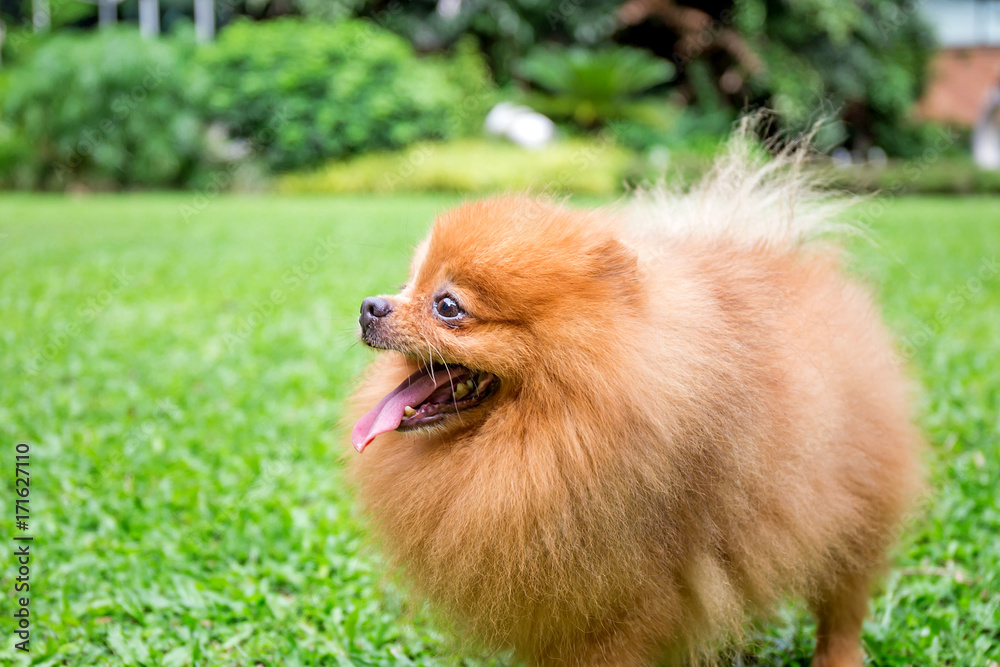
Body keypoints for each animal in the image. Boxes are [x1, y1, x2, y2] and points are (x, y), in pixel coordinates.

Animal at [344, 137, 920, 667]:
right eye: (407, 284)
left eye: (447, 306)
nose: (369, 305)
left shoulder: (622, 601)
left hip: (854, 509)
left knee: (843, 602)